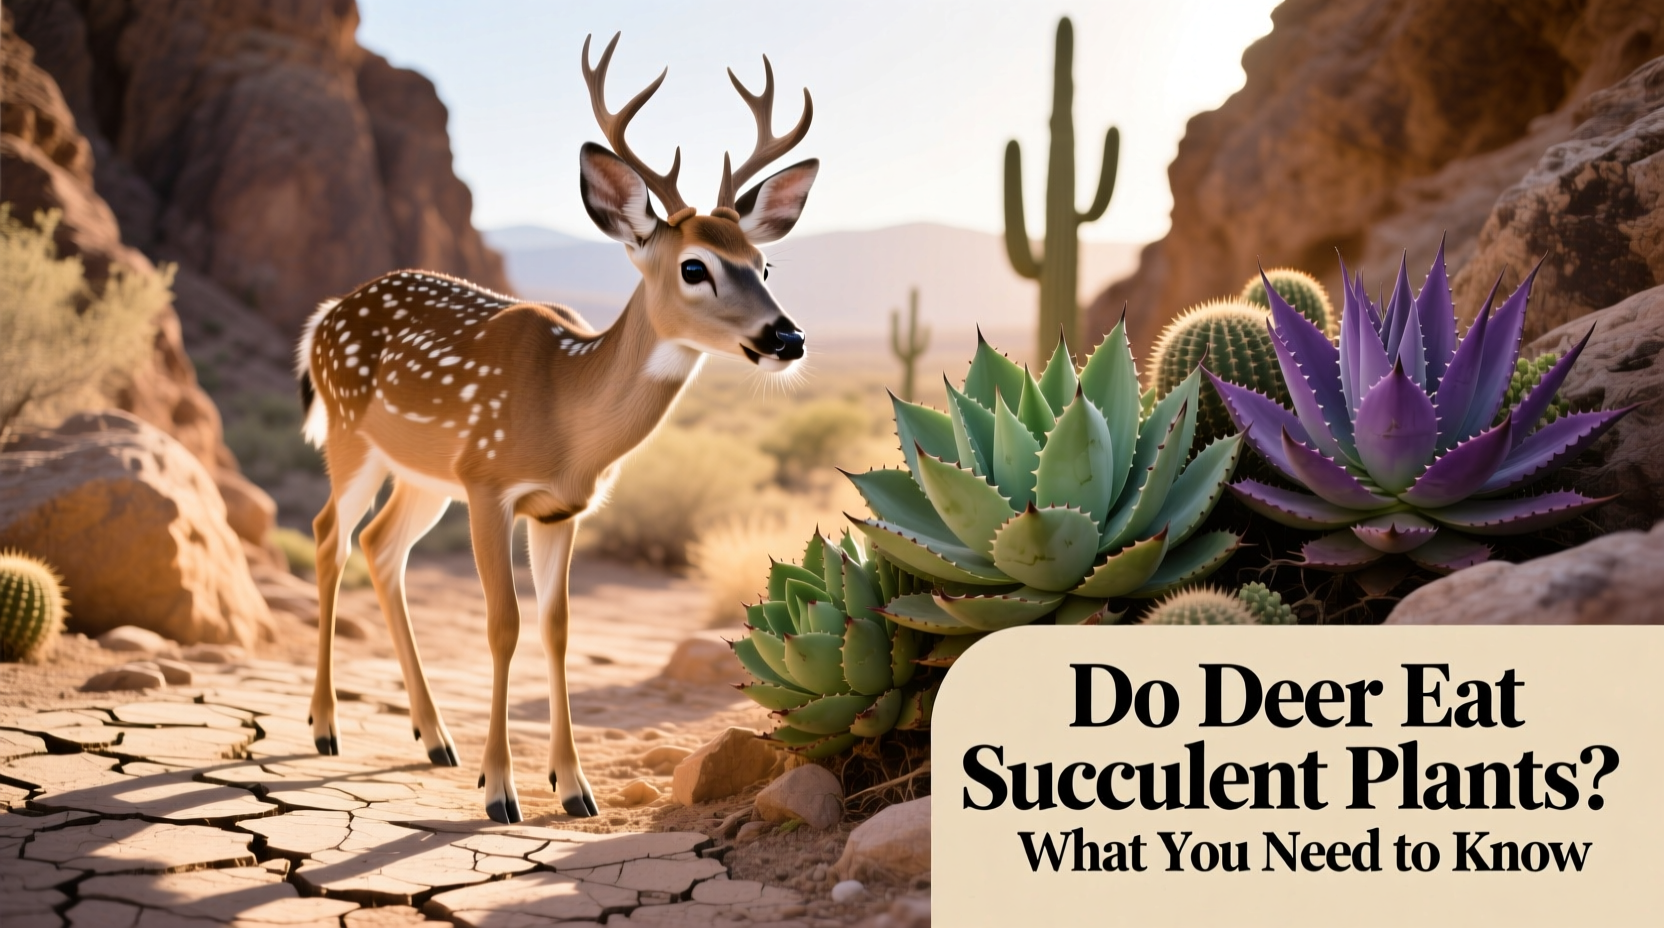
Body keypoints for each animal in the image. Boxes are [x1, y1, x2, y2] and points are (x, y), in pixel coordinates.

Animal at [295, 33, 817, 823]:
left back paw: (435, 738)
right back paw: (325, 729)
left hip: (423, 475)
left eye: (764, 263)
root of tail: (324, 316)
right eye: (695, 266)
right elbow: (503, 624)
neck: (568, 415)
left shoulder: (559, 509)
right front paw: (501, 792)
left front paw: (573, 788)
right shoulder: (488, 483)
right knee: (330, 534)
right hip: (355, 440)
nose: (787, 337)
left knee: (382, 547)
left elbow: (557, 627)